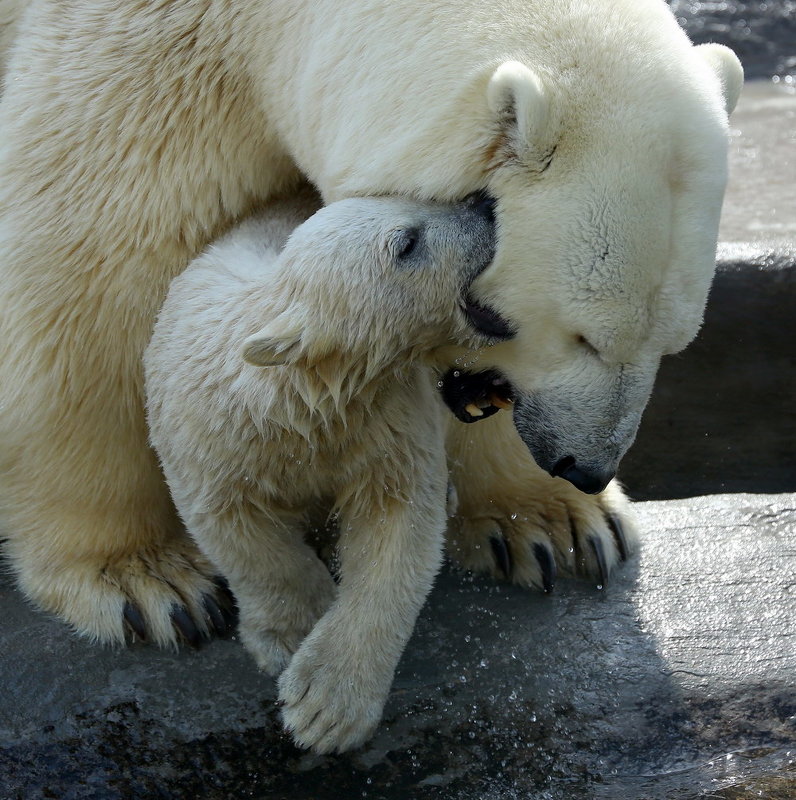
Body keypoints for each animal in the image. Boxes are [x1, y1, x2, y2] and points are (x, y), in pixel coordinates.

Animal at [0, 0, 740, 648]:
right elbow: (88, 287)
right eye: (583, 337)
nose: (585, 466)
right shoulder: (145, 75)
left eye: (674, 342)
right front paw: (147, 580)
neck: (261, 21)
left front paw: (552, 523)